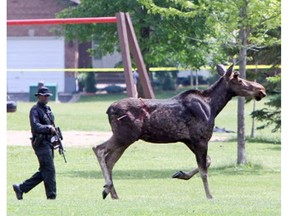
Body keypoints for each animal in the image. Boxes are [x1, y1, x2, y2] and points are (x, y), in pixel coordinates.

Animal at [92, 63, 266, 199]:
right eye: (239, 79)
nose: (261, 89)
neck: (214, 106)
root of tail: (108, 110)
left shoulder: (189, 140)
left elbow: (208, 162)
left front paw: (181, 174)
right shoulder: (200, 138)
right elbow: (204, 170)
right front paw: (209, 195)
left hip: (125, 139)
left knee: (110, 161)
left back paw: (112, 193)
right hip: (124, 135)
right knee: (98, 149)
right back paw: (107, 186)